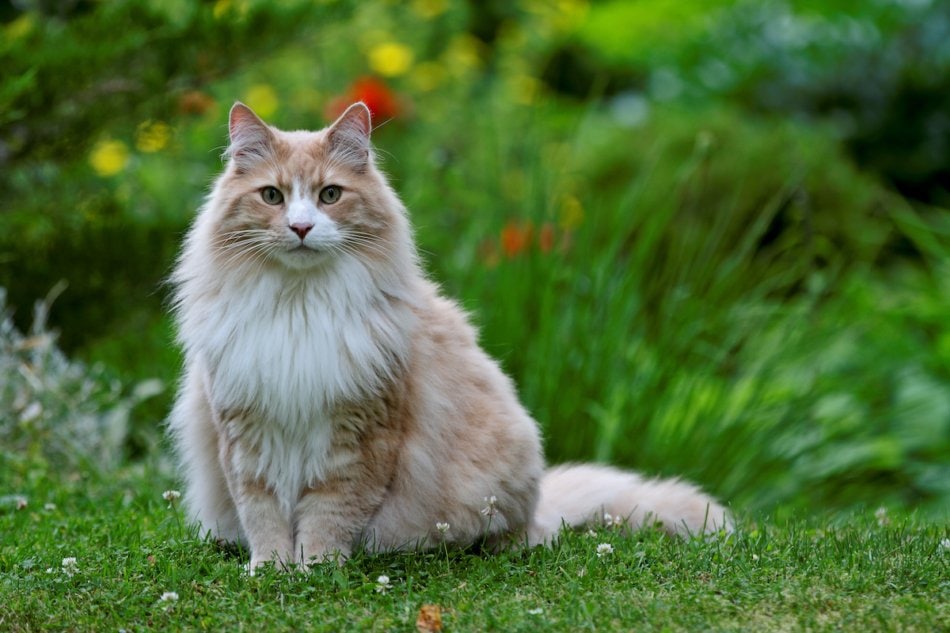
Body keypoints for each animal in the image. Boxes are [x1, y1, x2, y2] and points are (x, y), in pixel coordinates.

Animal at [167, 102, 732, 568]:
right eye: (272, 196)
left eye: (329, 195)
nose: (302, 228)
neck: (298, 307)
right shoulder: (244, 433)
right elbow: (262, 515)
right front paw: (271, 569)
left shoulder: (359, 436)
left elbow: (328, 515)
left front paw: (314, 568)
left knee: (525, 533)